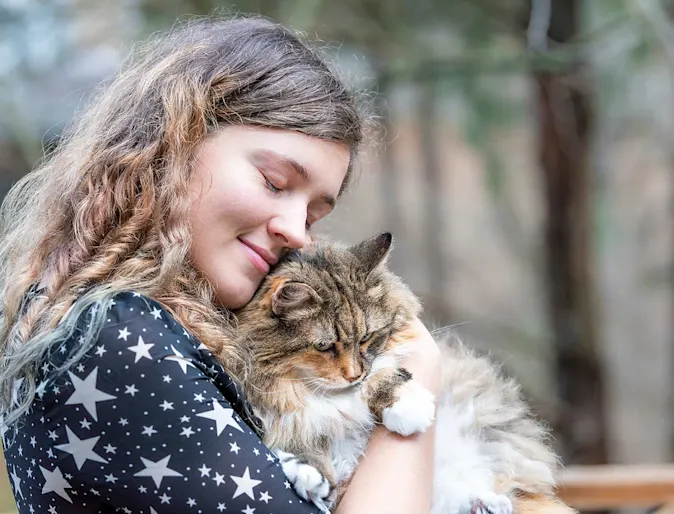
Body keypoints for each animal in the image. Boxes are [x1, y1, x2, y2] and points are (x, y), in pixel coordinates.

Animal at [230, 231, 572, 512]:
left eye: (366, 337)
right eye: (324, 346)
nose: (353, 374)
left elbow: (382, 372)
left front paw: (406, 408)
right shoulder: (289, 419)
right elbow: (307, 437)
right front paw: (307, 471)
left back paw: (487, 505)